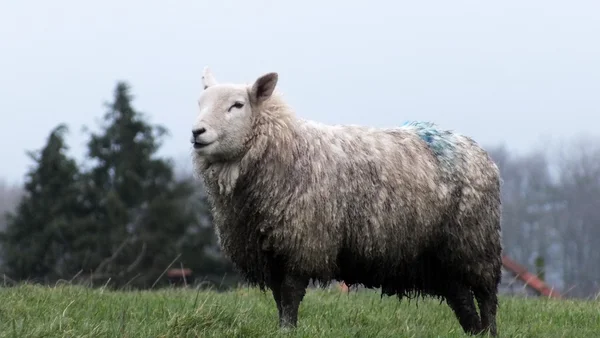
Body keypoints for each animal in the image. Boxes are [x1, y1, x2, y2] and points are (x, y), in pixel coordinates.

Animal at [191, 67, 502, 336]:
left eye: (237, 105)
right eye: (200, 103)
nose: (197, 132)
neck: (287, 148)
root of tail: (472, 146)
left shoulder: (303, 242)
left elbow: (290, 296)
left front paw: (288, 332)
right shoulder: (271, 251)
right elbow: (280, 300)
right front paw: (281, 330)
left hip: (475, 242)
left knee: (486, 296)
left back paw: (489, 332)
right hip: (441, 255)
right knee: (462, 300)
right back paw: (475, 333)